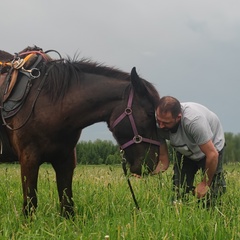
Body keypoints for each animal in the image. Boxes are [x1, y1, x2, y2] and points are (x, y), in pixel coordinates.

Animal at [0, 47, 161, 218]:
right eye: (150, 113)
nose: (151, 164)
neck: (49, 104)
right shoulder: (29, 159)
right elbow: (30, 205)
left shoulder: (65, 160)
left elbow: (67, 207)